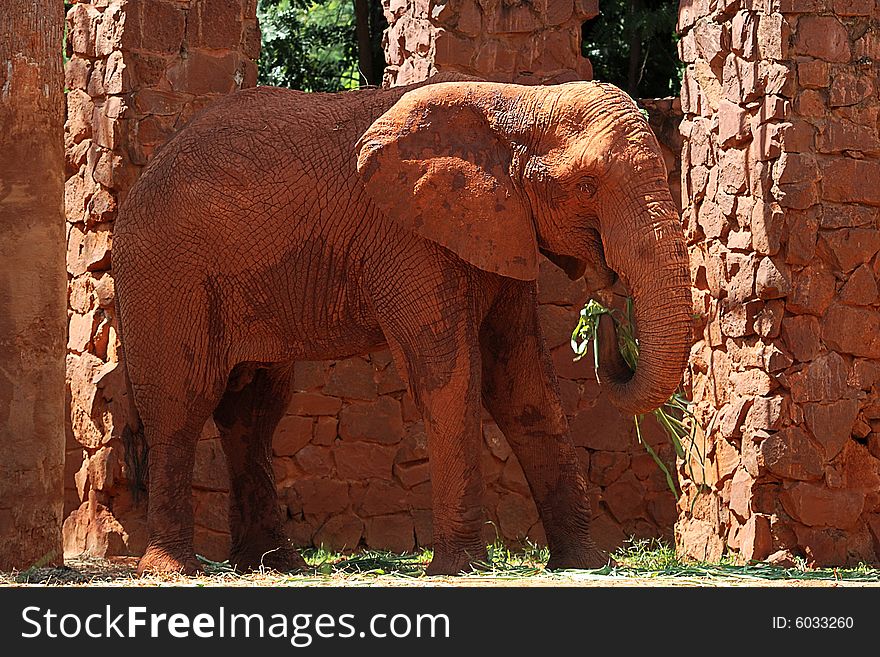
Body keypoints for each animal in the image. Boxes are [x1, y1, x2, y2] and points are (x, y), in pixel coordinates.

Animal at [113, 73, 696, 576]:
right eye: (589, 186)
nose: (606, 314)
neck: (516, 102)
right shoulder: (410, 239)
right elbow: (451, 379)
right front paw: (461, 568)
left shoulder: (501, 229)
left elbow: (523, 387)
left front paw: (583, 564)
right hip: (162, 274)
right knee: (181, 404)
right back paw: (174, 570)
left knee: (253, 410)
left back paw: (276, 565)